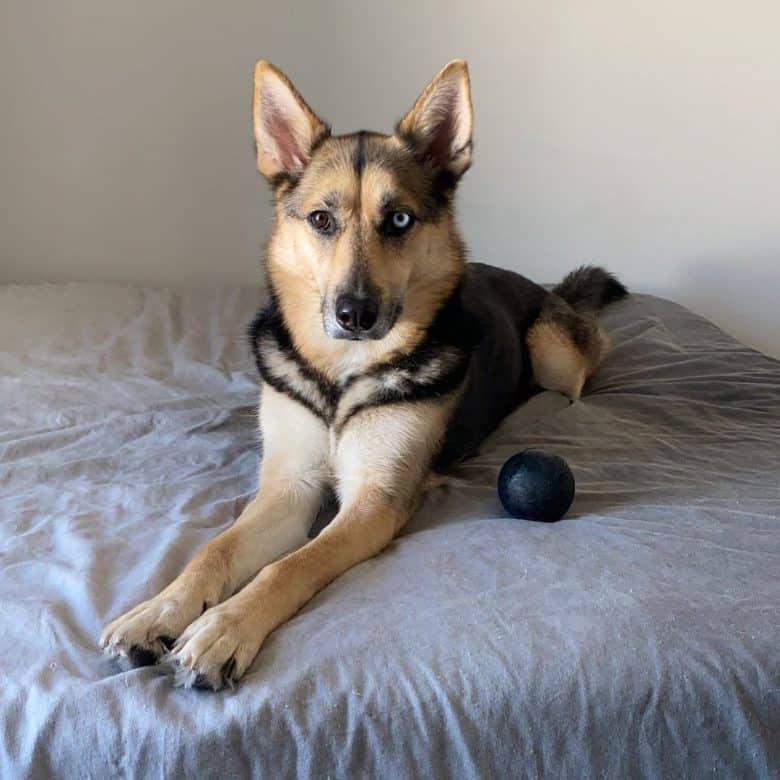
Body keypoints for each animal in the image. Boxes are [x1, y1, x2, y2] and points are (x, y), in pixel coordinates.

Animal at [102, 58, 628, 688]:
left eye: (398, 219)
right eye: (321, 220)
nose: (354, 314)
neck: (341, 376)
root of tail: (541, 285)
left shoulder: (372, 503)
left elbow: (288, 567)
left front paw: (225, 628)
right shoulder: (288, 487)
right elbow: (216, 551)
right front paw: (159, 610)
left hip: (552, 348)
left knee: (590, 359)